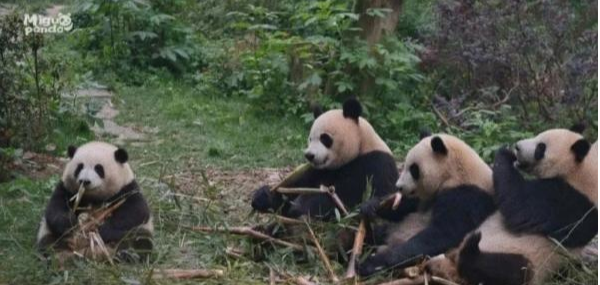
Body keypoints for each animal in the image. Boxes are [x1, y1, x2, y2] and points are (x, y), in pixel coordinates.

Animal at [252, 97, 398, 220]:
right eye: (310, 139)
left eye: (325, 138)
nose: (309, 155)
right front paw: (262, 196)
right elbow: (293, 189)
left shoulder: (377, 161)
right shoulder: (317, 171)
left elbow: (383, 191)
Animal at [358, 132, 494, 276]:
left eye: (414, 169)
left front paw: (373, 263)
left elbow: (443, 233)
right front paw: (371, 205)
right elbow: (405, 207)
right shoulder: (426, 195)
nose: (398, 187)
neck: (453, 172)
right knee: (379, 232)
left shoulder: (467, 195)